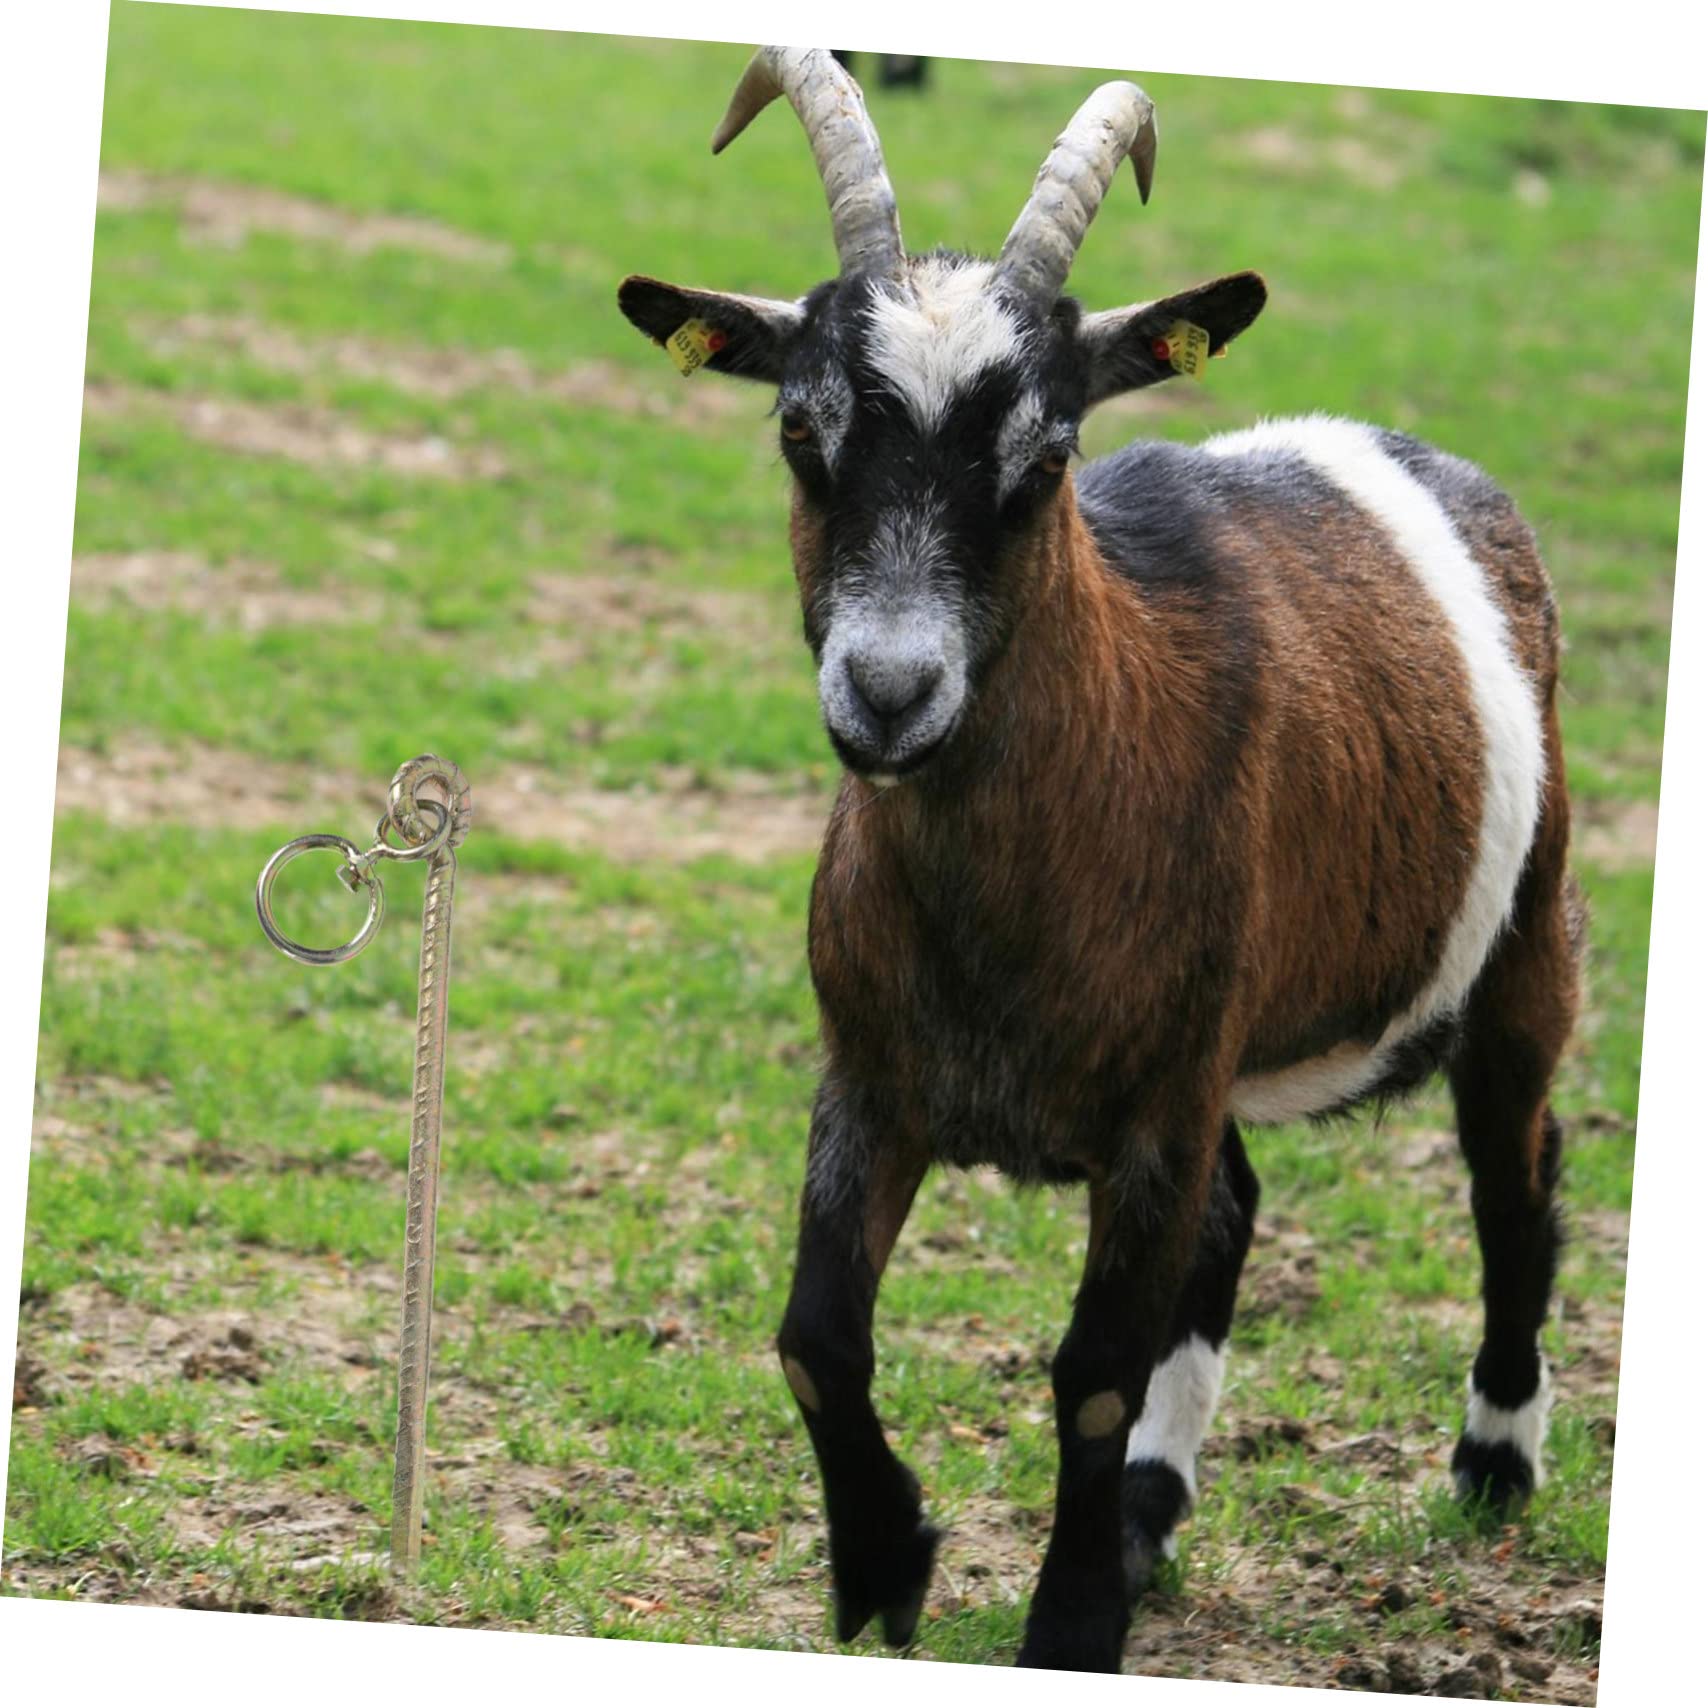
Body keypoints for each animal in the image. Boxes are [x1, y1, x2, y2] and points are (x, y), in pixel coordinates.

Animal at [618, 48, 1582, 1674]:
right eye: (803, 435)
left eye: (1049, 454)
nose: (889, 694)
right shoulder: (874, 1078)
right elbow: (818, 1339)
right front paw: (886, 1563)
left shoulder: (1153, 1113)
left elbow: (1090, 1375)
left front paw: (1066, 1624)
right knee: (1237, 1217)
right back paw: (1148, 1512)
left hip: (1523, 942)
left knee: (1513, 1181)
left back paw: (1494, 1462)